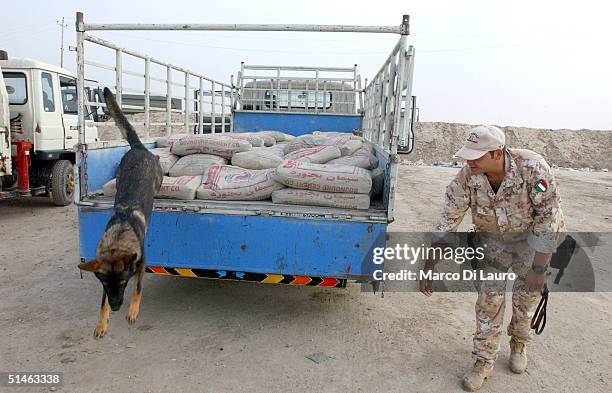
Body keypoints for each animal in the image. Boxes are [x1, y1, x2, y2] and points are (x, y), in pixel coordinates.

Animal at [79, 88, 163, 336]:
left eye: (124, 282)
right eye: (106, 285)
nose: (117, 308)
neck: (117, 240)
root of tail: (139, 148)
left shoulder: (142, 262)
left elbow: (139, 288)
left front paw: (132, 311)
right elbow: (101, 302)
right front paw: (102, 322)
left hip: (157, 177)